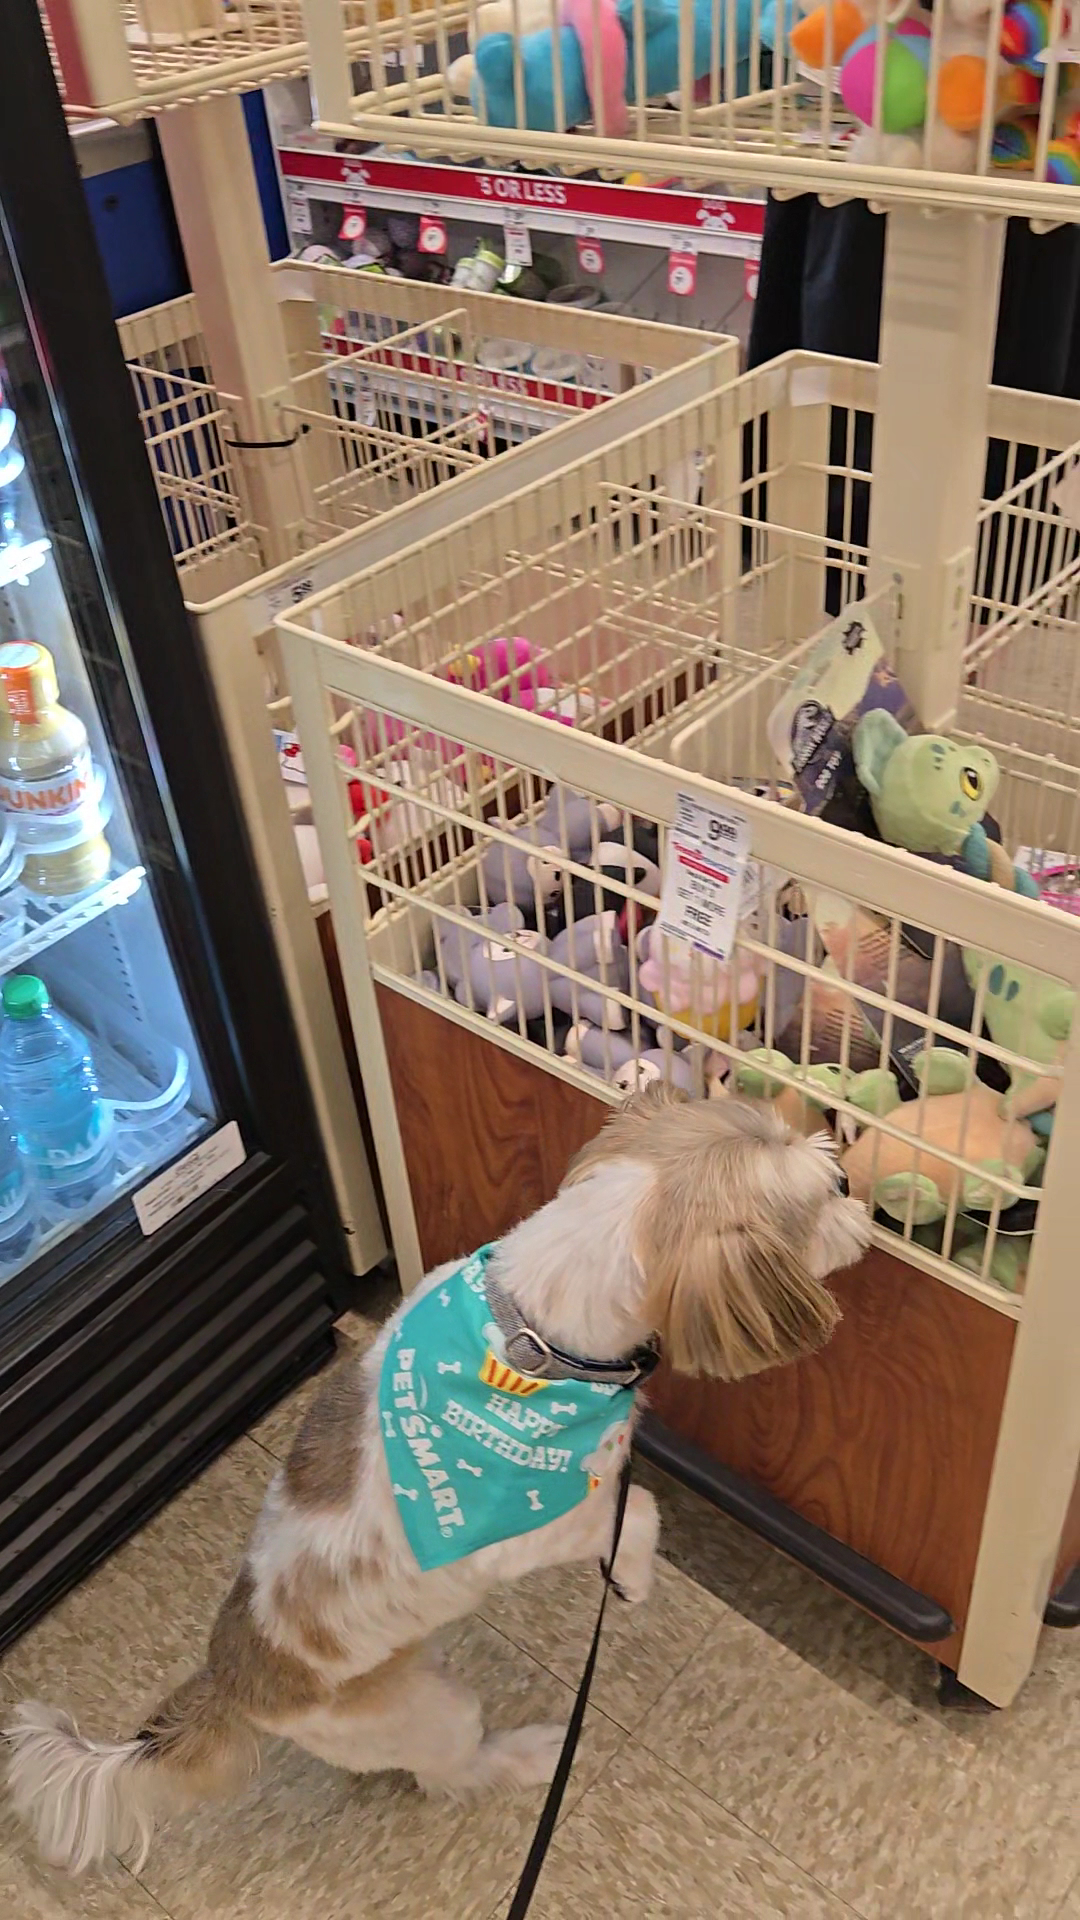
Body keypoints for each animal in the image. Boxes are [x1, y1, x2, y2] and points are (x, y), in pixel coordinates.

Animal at [5, 1086, 870, 1874]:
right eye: (819, 1201)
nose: (848, 1178)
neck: (529, 1342)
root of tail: (232, 1681)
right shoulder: (541, 1522)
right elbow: (643, 1510)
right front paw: (631, 1577)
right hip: (427, 1714)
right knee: (448, 1774)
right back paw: (526, 1753)